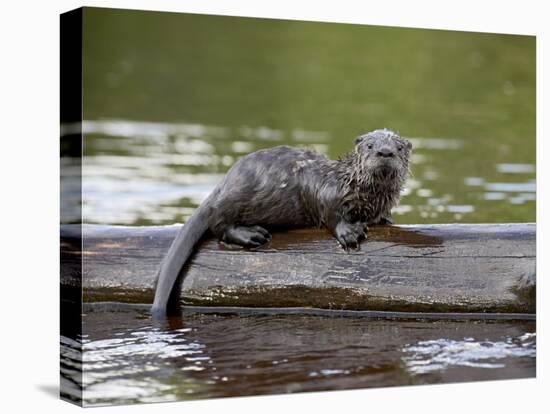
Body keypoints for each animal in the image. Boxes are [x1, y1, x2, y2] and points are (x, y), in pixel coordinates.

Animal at [153, 129, 412, 316]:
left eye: (398, 147)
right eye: (370, 146)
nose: (385, 152)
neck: (358, 188)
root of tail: (221, 186)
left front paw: (385, 218)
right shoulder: (329, 192)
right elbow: (331, 213)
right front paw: (349, 233)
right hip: (234, 199)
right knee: (219, 224)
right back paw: (251, 235)